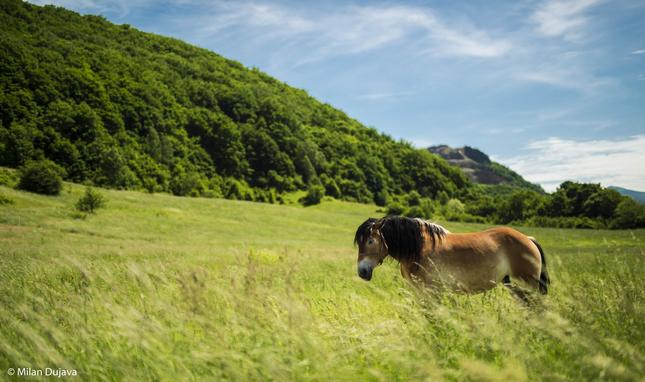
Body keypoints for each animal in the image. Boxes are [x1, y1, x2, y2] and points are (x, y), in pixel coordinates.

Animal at [352, 216, 548, 300]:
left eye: (370, 241)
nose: (362, 271)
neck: (419, 248)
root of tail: (528, 239)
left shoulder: (432, 292)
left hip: (527, 286)